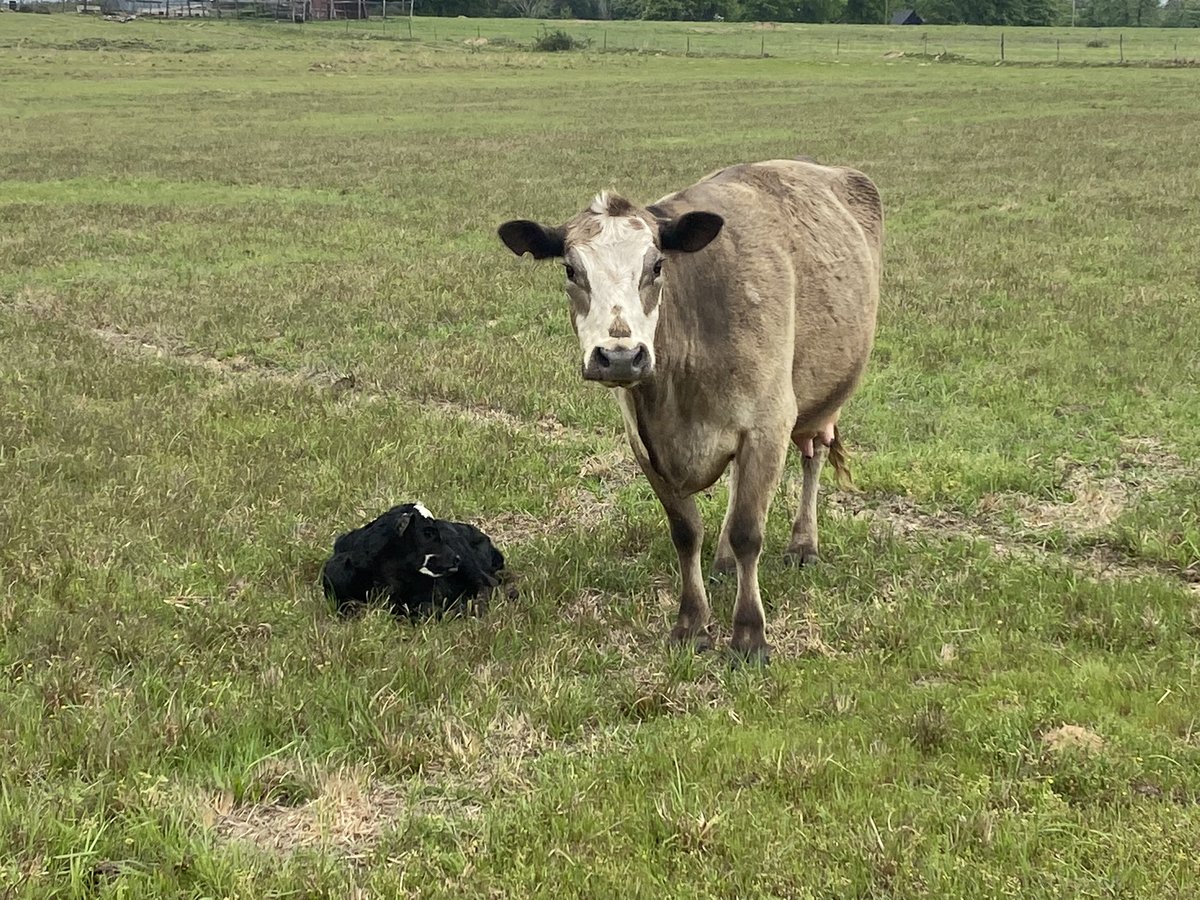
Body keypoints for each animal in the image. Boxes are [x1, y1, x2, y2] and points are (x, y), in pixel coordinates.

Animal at [498, 158, 882, 662]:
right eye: (570, 270)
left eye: (657, 265)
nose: (620, 356)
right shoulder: (644, 443)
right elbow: (685, 532)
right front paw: (692, 623)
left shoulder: (768, 425)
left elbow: (749, 532)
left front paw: (749, 634)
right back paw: (723, 561)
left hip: (823, 403)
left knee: (812, 457)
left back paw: (803, 543)